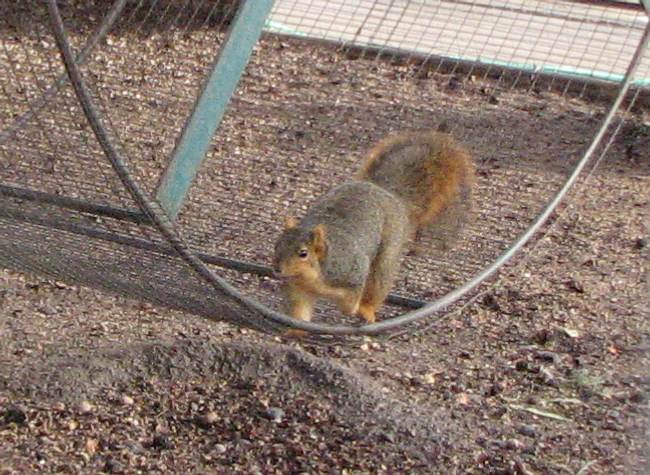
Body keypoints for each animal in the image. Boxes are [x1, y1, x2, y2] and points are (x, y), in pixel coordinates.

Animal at [270, 128, 474, 332]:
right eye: (276, 246)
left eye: (303, 253)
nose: (277, 269)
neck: (311, 278)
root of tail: (390, 195)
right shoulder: (299, 290)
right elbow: (299, 311)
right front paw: (295, 331)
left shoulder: (352, 270)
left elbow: (352, 297)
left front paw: (353, 309)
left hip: (387, 250)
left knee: (378, 282)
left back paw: (366, 309)